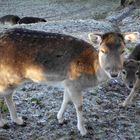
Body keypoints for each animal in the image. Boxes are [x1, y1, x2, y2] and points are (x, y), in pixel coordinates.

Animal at [0, 28, 138, 136]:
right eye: (103, 50)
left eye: (123, 51)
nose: (114, 73)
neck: (92, 72)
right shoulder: (74, 82)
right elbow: (79, 105)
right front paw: (83, 130)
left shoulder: (68, 83)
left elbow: (66, 99)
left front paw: (60, 118)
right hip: (9, 75)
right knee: (4, 93)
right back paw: (4, 123)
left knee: (8, 94)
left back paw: (18, 120)